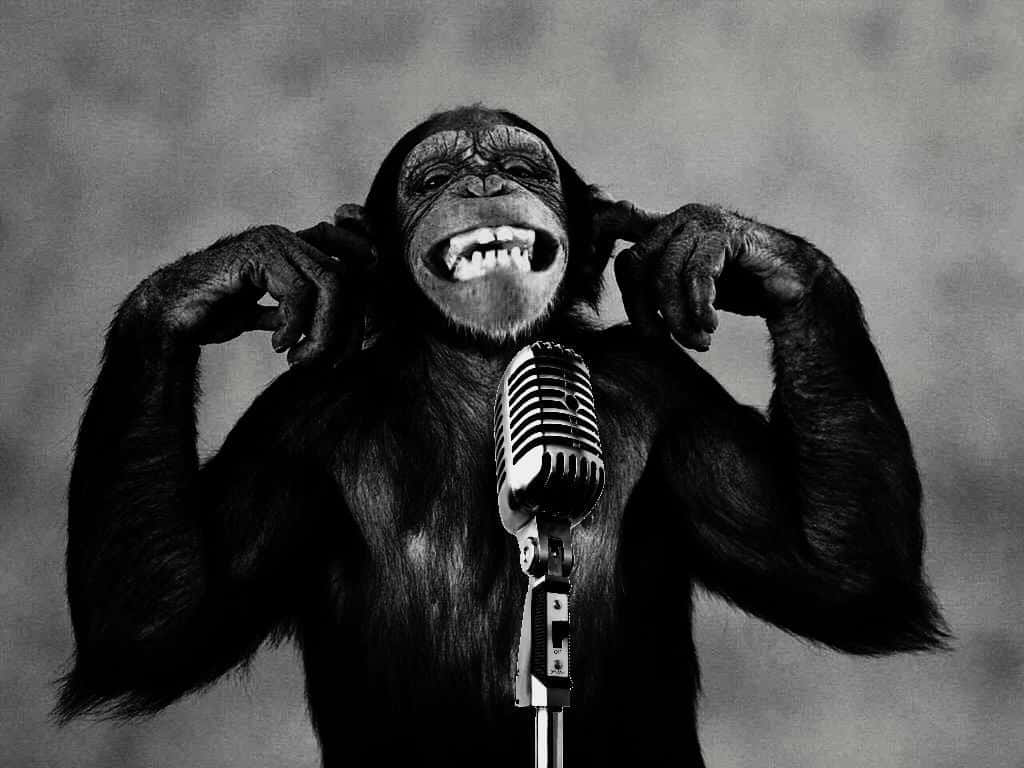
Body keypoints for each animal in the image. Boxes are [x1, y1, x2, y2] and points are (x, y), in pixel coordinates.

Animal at [58, 105, 946, 766]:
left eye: (522, 170)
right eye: (434, 179)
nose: (483, 182)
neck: (488, 368)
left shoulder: (670, 397)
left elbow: (837, 569)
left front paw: (719, 242)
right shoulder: (292, 430)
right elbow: (155, 617)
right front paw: (229, 275)